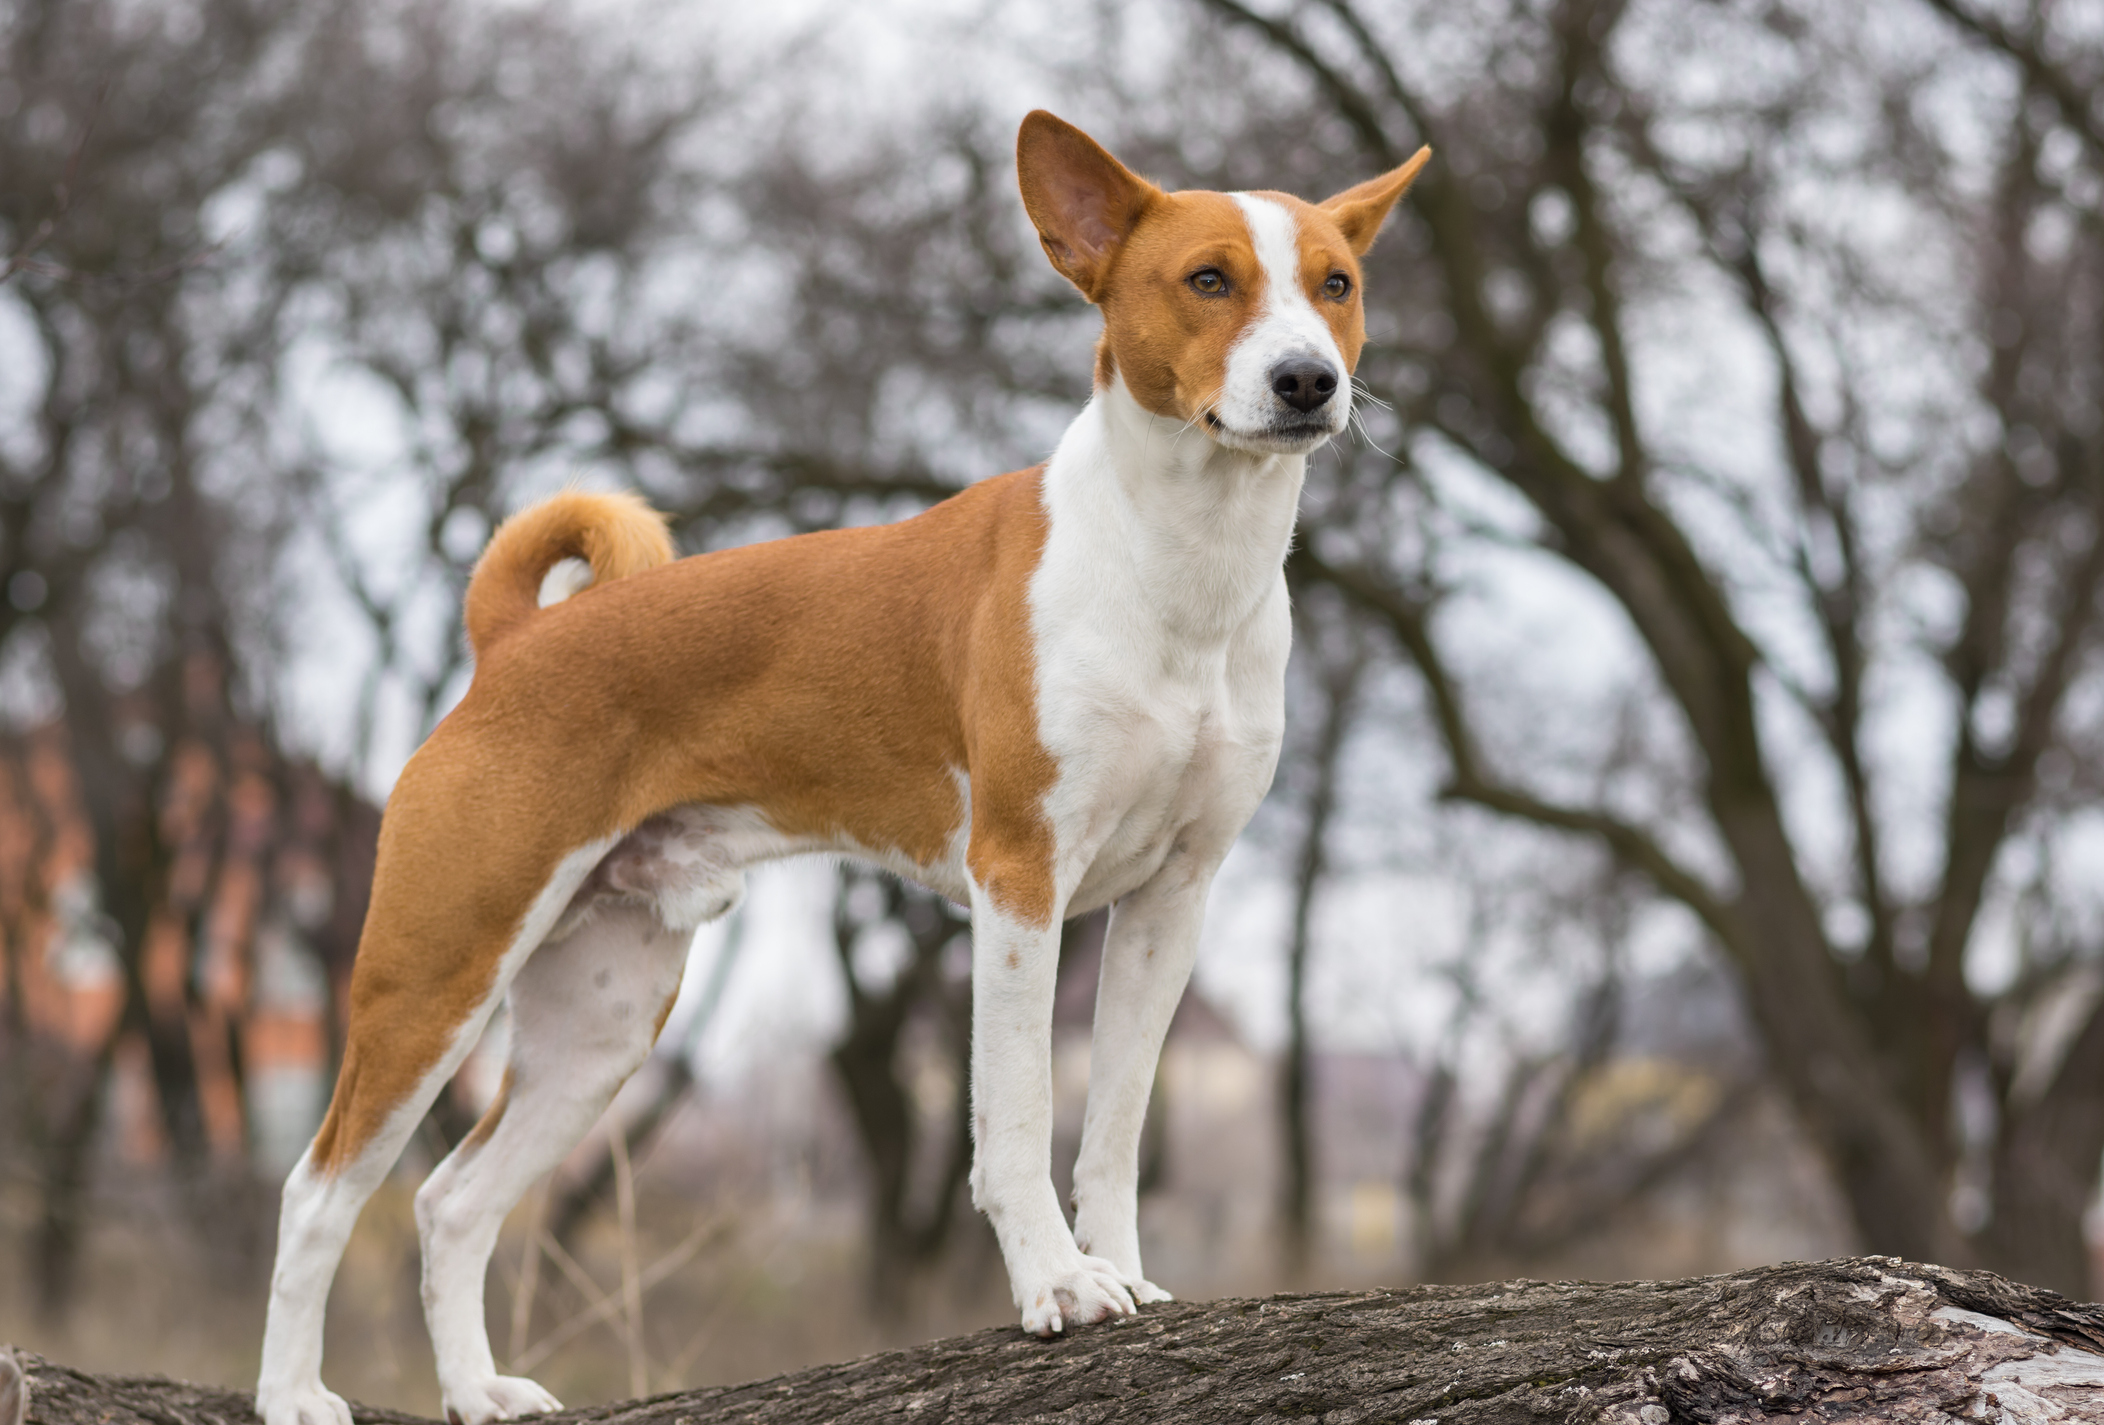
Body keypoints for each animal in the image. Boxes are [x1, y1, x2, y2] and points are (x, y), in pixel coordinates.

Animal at [254, 111, 1422, 1422]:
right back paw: (293, 1395)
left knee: (453, 1200)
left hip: (604, 1014)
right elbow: (1016, 1117)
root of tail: (512, 641)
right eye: (1208, 280)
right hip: (438, 970)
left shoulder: (1175, 895)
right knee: (318, 1193)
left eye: (1337, 285)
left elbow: (1115, 1128)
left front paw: (1121, 1273)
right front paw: (1058, 1289)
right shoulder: (1020, 879)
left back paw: (478, 1391)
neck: (1181, 569)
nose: (1307, 380)